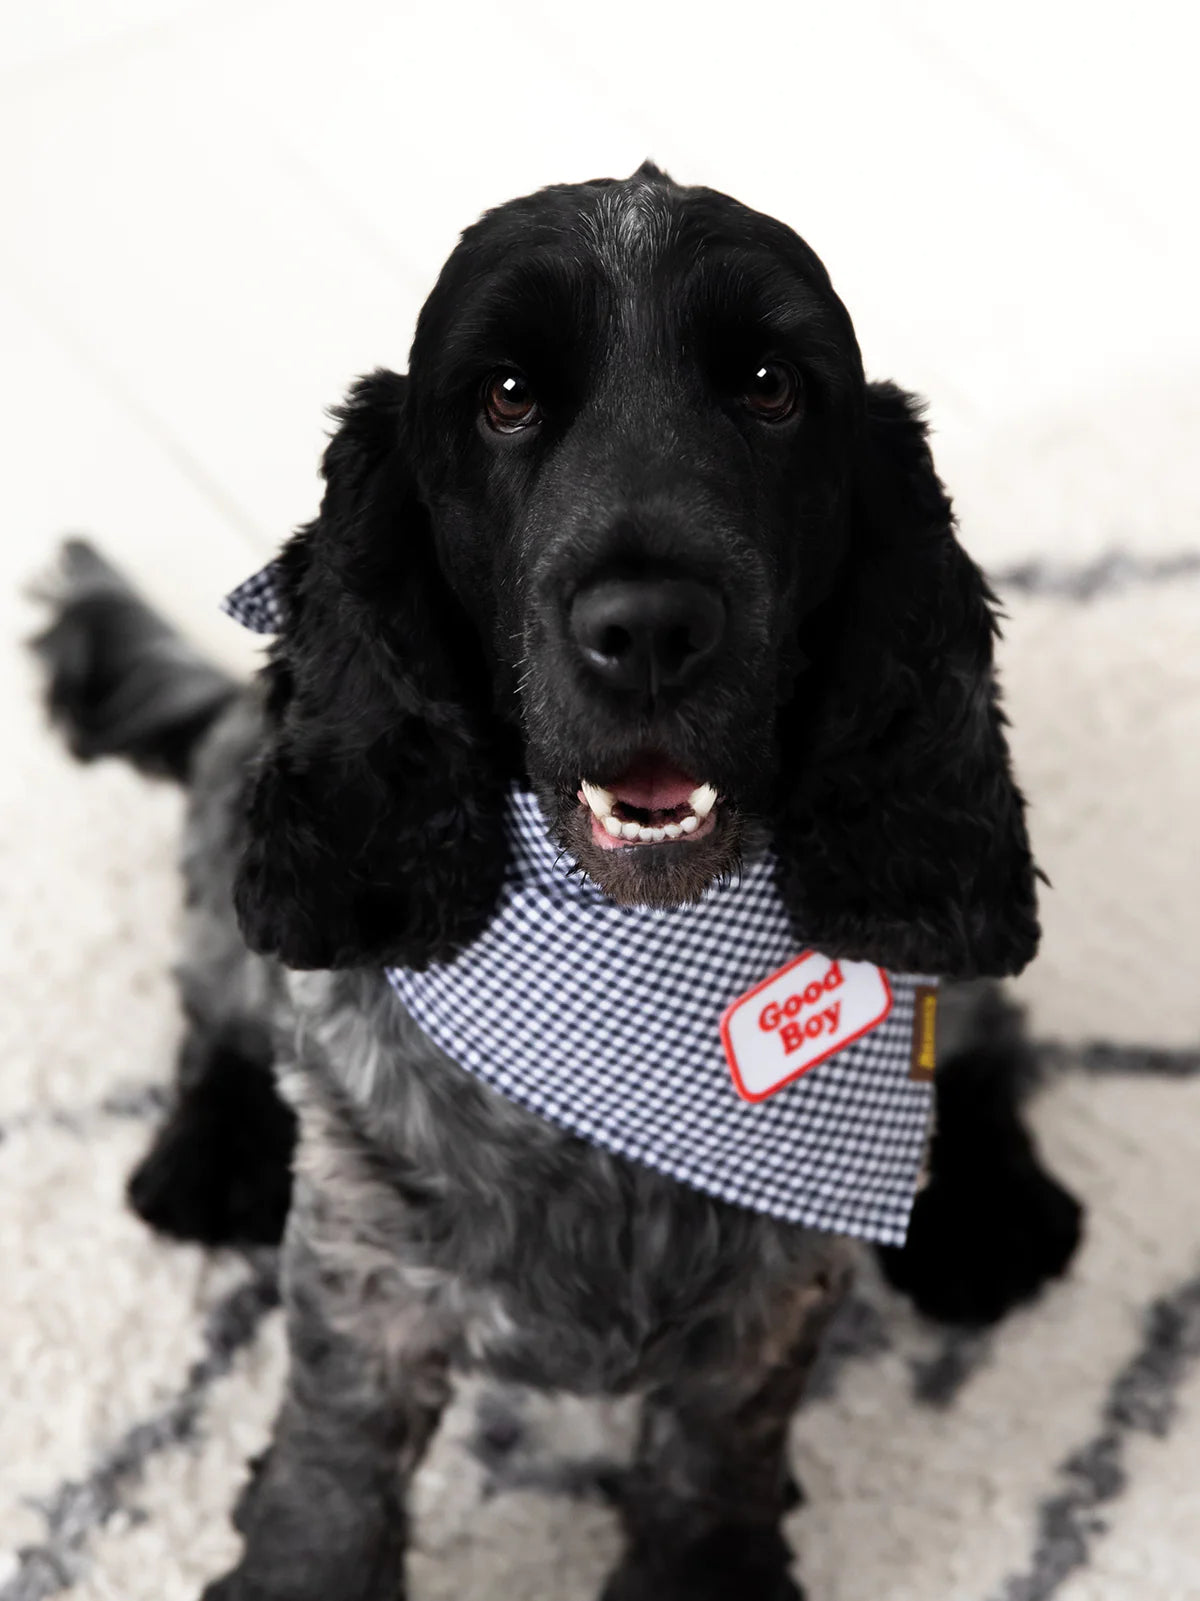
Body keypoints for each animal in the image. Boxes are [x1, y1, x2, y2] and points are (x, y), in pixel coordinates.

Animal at [35, 168, 1088, 1594]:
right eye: (507, 396)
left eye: (771, 385)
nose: (647, 628)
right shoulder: (366, 1276)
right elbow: (330, 1469)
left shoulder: (770, 1305)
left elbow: (714, 1459)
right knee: (212, 991)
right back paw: (210, 1153)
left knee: (984, 1033)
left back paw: (995, 1210)